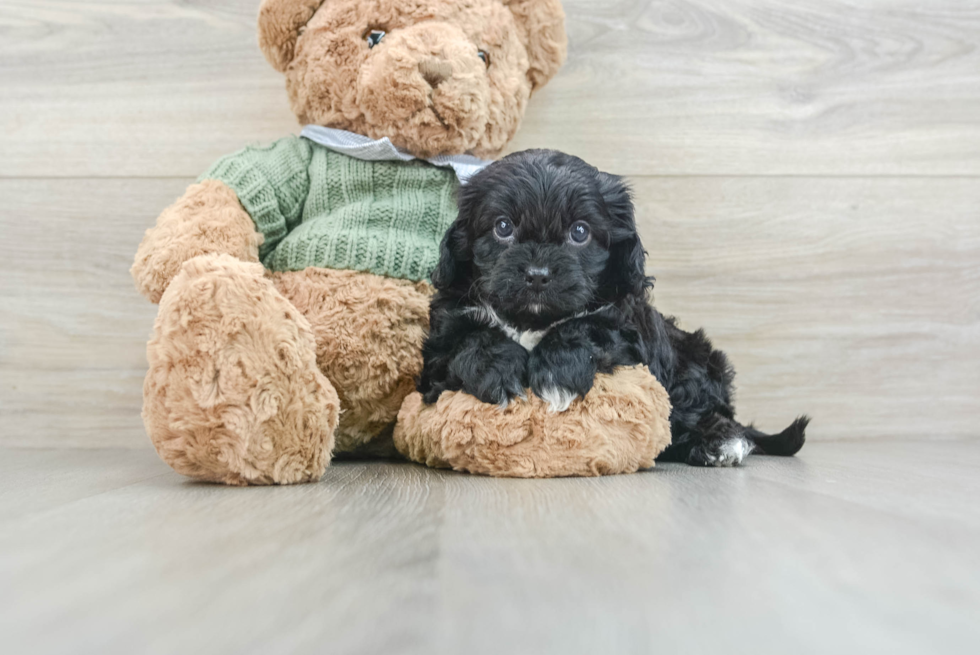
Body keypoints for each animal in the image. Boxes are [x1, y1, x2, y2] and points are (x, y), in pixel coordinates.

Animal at [418, 149, 808, 466]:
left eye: (580, 232)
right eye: (502, 227)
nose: (538, 275)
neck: (533, 320)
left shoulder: (628, 326)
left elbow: (588, 326)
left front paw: (557, 374)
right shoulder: (439, 347)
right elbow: (469, 339)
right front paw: (497, 371)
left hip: (695, 361)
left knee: (702, 412)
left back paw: (720, 442)